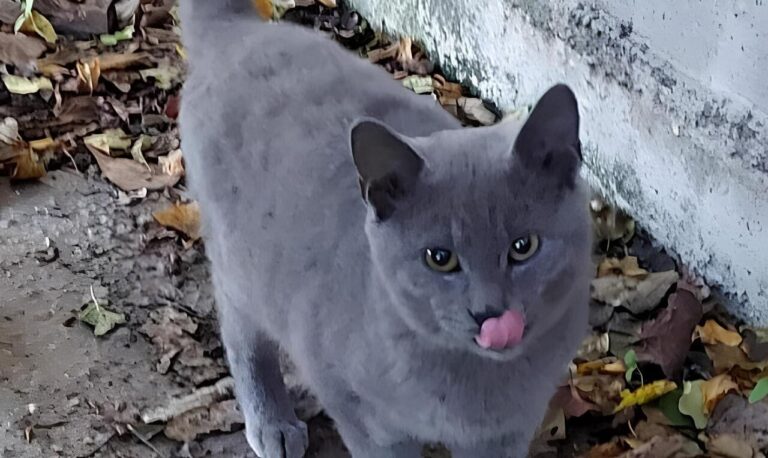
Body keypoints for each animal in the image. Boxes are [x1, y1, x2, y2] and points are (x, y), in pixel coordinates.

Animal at [180, 1, 592, 456]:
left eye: (524, 246)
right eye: (439, 258)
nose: (489, 313)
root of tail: (241, 30)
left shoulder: (507, 433)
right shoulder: (356, 409)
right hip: (239, 265)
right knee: (241, 331)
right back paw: (273, 423)